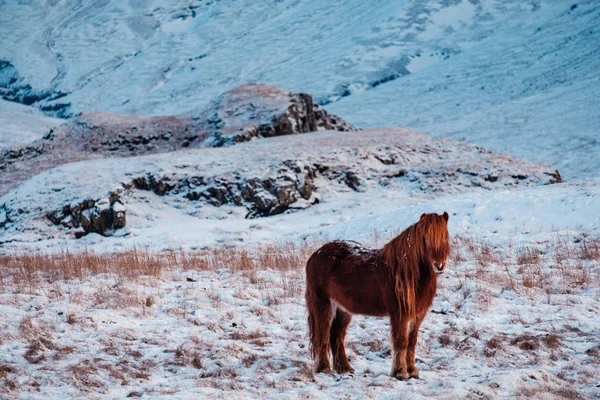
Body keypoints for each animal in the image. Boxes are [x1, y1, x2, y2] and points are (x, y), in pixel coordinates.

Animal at [304, 211, 450, 380]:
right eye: (425, 238)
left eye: (446, 236)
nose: (439, 265)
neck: (406, 272)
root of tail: (315, 255)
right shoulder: (399, 314)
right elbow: (401, 341)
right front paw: (400, 372)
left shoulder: (418, 315)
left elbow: (412, 341)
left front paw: (413, 371)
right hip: (323, 304)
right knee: (322, 335)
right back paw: (324, 369)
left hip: (342, 309)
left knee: (336, 335)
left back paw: (345, 368)